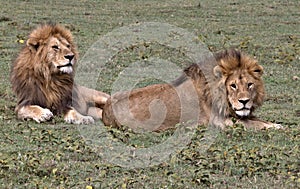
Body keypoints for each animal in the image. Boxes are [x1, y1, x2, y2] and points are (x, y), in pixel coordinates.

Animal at [102, 48, 282, 131]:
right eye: (233, 85)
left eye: (250, 84)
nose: (244, 101)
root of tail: (105, 111)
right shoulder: (221, 122)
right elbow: (256, 125)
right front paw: (278, 127)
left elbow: (259, 120)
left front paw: (275, 123)